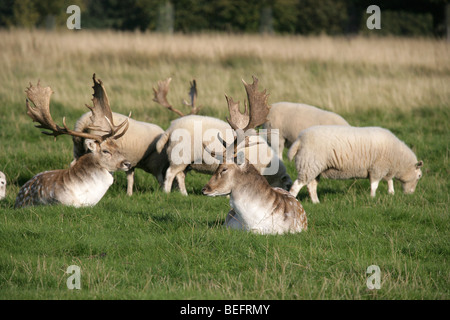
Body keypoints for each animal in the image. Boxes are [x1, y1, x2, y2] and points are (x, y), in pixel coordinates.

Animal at [156, 115, 294, 195]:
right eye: (287, 186)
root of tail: (171, 128)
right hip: (179, 156)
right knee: (170, 173)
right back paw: (166, 193)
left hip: (185, 160)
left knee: (180, 175)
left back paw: (184, 194)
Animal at [288, 125, 422, 202]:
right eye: (419, 176)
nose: (411, 194)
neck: (398, 159)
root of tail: (300, 139)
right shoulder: (377, 168)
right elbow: (375, 185)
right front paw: (372, 197)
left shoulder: (384, 168)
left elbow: (390, 181)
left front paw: (391, 193)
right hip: (308, 163)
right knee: (297, 185)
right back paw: (293, 199)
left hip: (314, 167)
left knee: (311, 186)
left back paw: (316, 202)